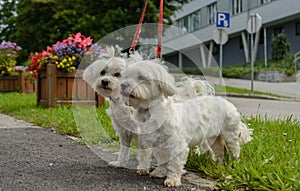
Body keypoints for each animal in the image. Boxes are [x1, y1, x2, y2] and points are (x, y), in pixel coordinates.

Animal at [119, 60, 253, 187]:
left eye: (141, 77)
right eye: (124, 76)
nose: (123, 85)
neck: (151, 111)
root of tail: (228, 103)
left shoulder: (177, 144)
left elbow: (175, 163)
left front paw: (172, 179)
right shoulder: (158, 144)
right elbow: (162, 160)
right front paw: (159, 172)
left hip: (230, 135)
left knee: (235, 151)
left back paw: (233, 166)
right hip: (213, 138)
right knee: (219, 152)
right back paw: (219, 167)